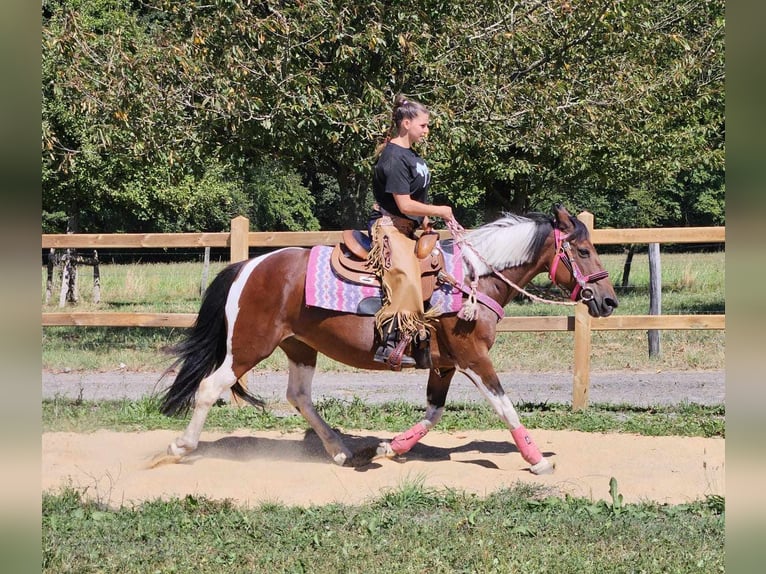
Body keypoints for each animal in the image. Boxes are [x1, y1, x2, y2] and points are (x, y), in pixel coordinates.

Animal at [160, 205, 616, 474]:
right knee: (209, 387)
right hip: (250, 346)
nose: (608, 300)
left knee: (299, 396)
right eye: (583, 249)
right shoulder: (473, 357)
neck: (472, 279)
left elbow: (433, 412)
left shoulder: (445, 363)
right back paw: (181, 446)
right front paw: (537, 460)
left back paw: (341, 450)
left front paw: (391, 447)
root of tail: (249, 266)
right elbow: (504, 406)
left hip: (299, 346)